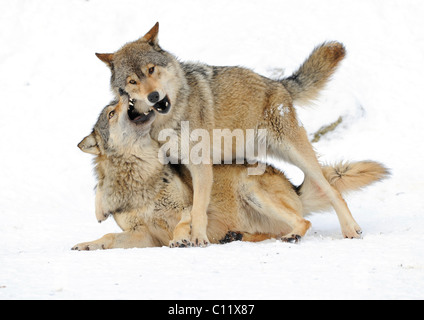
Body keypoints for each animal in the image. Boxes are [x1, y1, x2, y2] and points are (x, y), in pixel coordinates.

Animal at [72, 96, 388, 251]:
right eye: (111, 114)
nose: (124, 98)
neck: (139, 176)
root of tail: (292, 186)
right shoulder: (143, 235)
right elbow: (108, 236)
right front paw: (87, 245)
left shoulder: (185, 208)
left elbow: (183, 223)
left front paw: (181, 240)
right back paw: (234, 236)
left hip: (252, 190)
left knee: (302, 221)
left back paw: (290, 237)